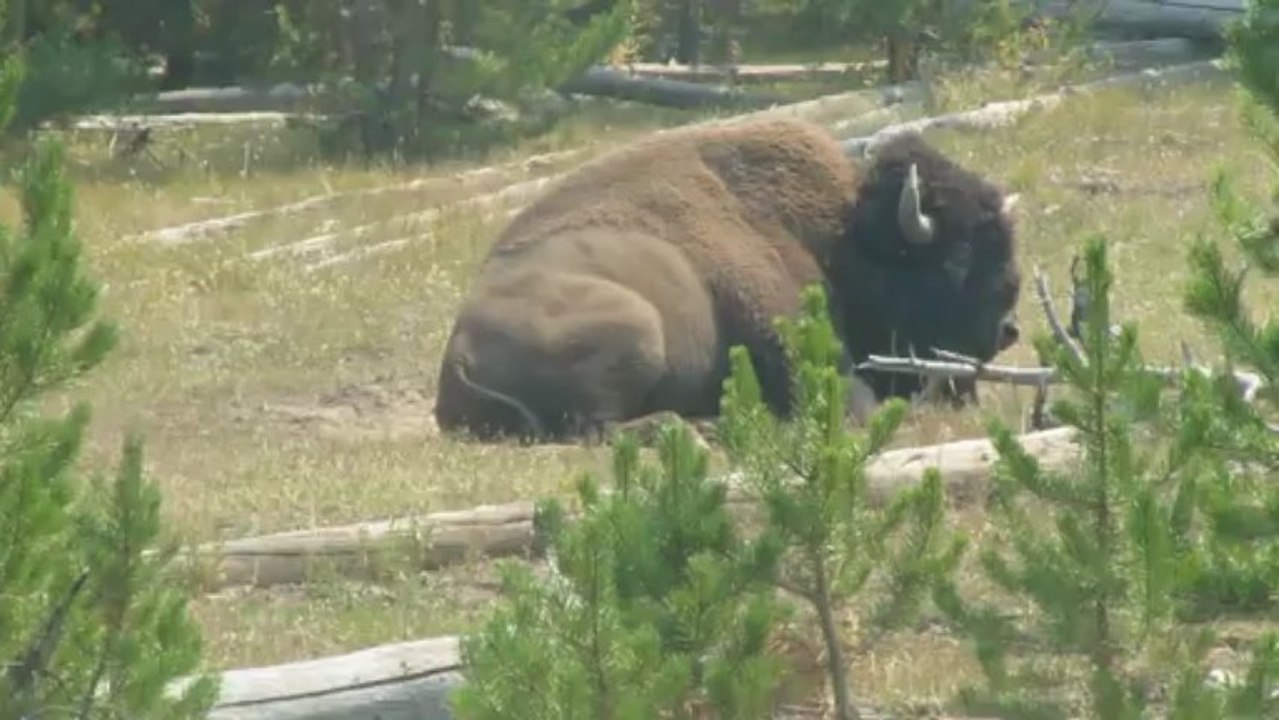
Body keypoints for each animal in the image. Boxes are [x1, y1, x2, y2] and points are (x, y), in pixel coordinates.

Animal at [433, 118, 1022, 443]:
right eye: (957, 258)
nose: (1008, 329)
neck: (844, 234)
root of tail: (457, 352)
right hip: (639, 328)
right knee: (597, 428)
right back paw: (698, 429)